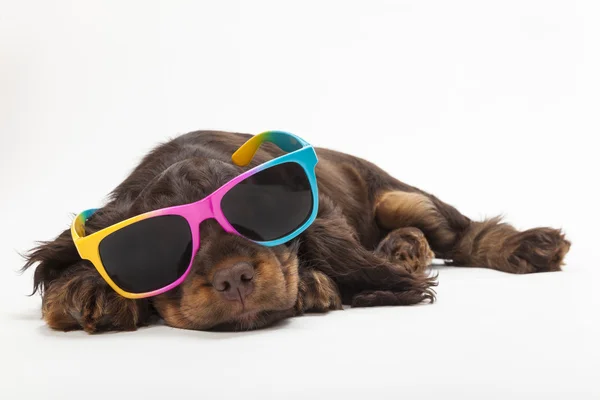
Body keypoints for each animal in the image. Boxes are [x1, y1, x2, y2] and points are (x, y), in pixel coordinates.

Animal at [19, 131, 572, 332]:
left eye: (261, 216)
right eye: (161, 249)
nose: (234, 279)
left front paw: (312, 283)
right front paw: (87, 289)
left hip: (399, 195)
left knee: (466, 234)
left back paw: (530, 245)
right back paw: (402, 249)